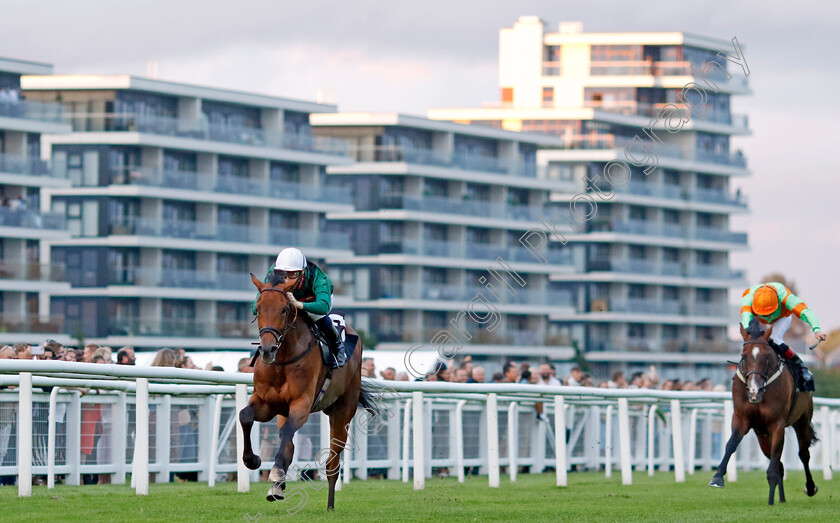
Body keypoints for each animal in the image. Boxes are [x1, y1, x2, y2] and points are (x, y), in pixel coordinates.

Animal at [240, 274, 378, 512]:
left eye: (284, 309)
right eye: (257, 308)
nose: (267, 350)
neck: (283, 359)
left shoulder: (302, 404)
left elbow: (288, 431)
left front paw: (274, 471)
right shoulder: (268, 403)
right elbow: (245, 416)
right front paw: (253, 460)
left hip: (343, 410)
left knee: (332, 460)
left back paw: (330, 505)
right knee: (288, 443)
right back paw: (277, 488)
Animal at [704, 322, 816, 506]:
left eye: (767, 357)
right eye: (743, 356)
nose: (754, 390)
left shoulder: (777, 424)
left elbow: (777, 458)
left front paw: (771, 493)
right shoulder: (741, 419)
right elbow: (731, 444)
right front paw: (717, 477)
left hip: (802, 421)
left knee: (803, 454)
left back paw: (810, 487)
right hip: (761, 434)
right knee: (779, 463)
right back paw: (781, 498)